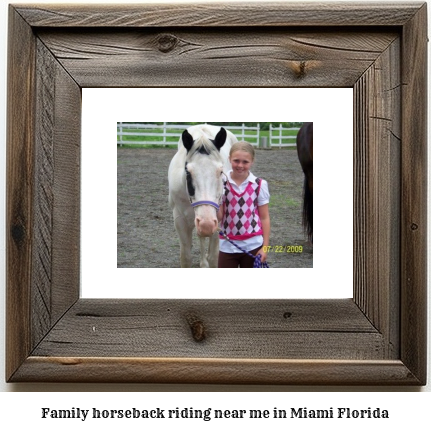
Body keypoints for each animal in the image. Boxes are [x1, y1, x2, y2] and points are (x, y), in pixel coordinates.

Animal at [169, 123, 238, 268]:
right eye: (187, 172)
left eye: (221, 171)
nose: (206, 224)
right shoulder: (180, 221)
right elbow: (186, 258)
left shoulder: (217, 221)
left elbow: (214, 257)